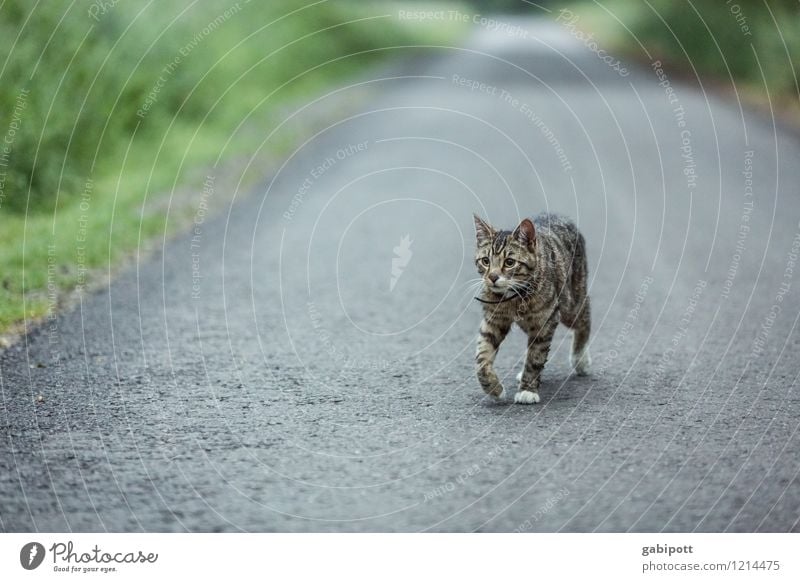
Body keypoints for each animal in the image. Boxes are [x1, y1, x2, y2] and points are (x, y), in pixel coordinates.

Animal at [472, 214, 592, 406]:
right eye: (485, 261)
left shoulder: (546, 320)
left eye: (510, 262)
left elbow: (535, 356)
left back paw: (580, 359)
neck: (513, 297)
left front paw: (527, 390)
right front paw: (494, 389)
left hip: (571, 301)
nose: (492, 277)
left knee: (584, 316)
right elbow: (482, 357)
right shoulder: (493, 321)